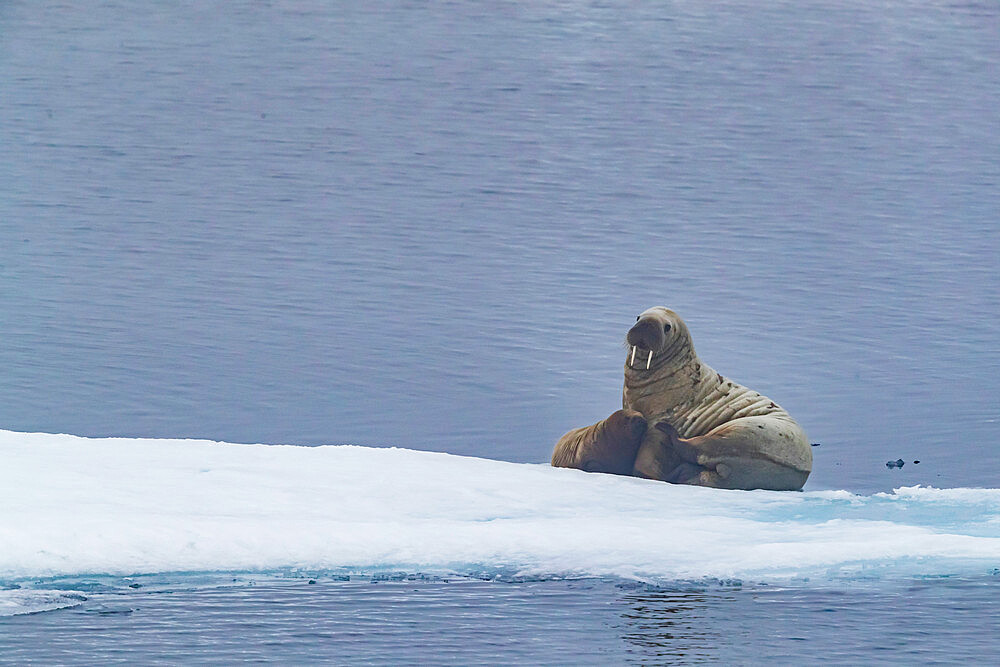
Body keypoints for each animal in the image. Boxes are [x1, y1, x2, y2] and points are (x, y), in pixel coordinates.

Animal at [556, 308, 812, 490]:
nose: (646, 324)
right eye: (638, 316)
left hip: (743, 434)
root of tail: (802, 467)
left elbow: (648, 455)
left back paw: (671, 436)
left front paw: (642, 473)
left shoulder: (659, 420)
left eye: (667, 327)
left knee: (695, 448)